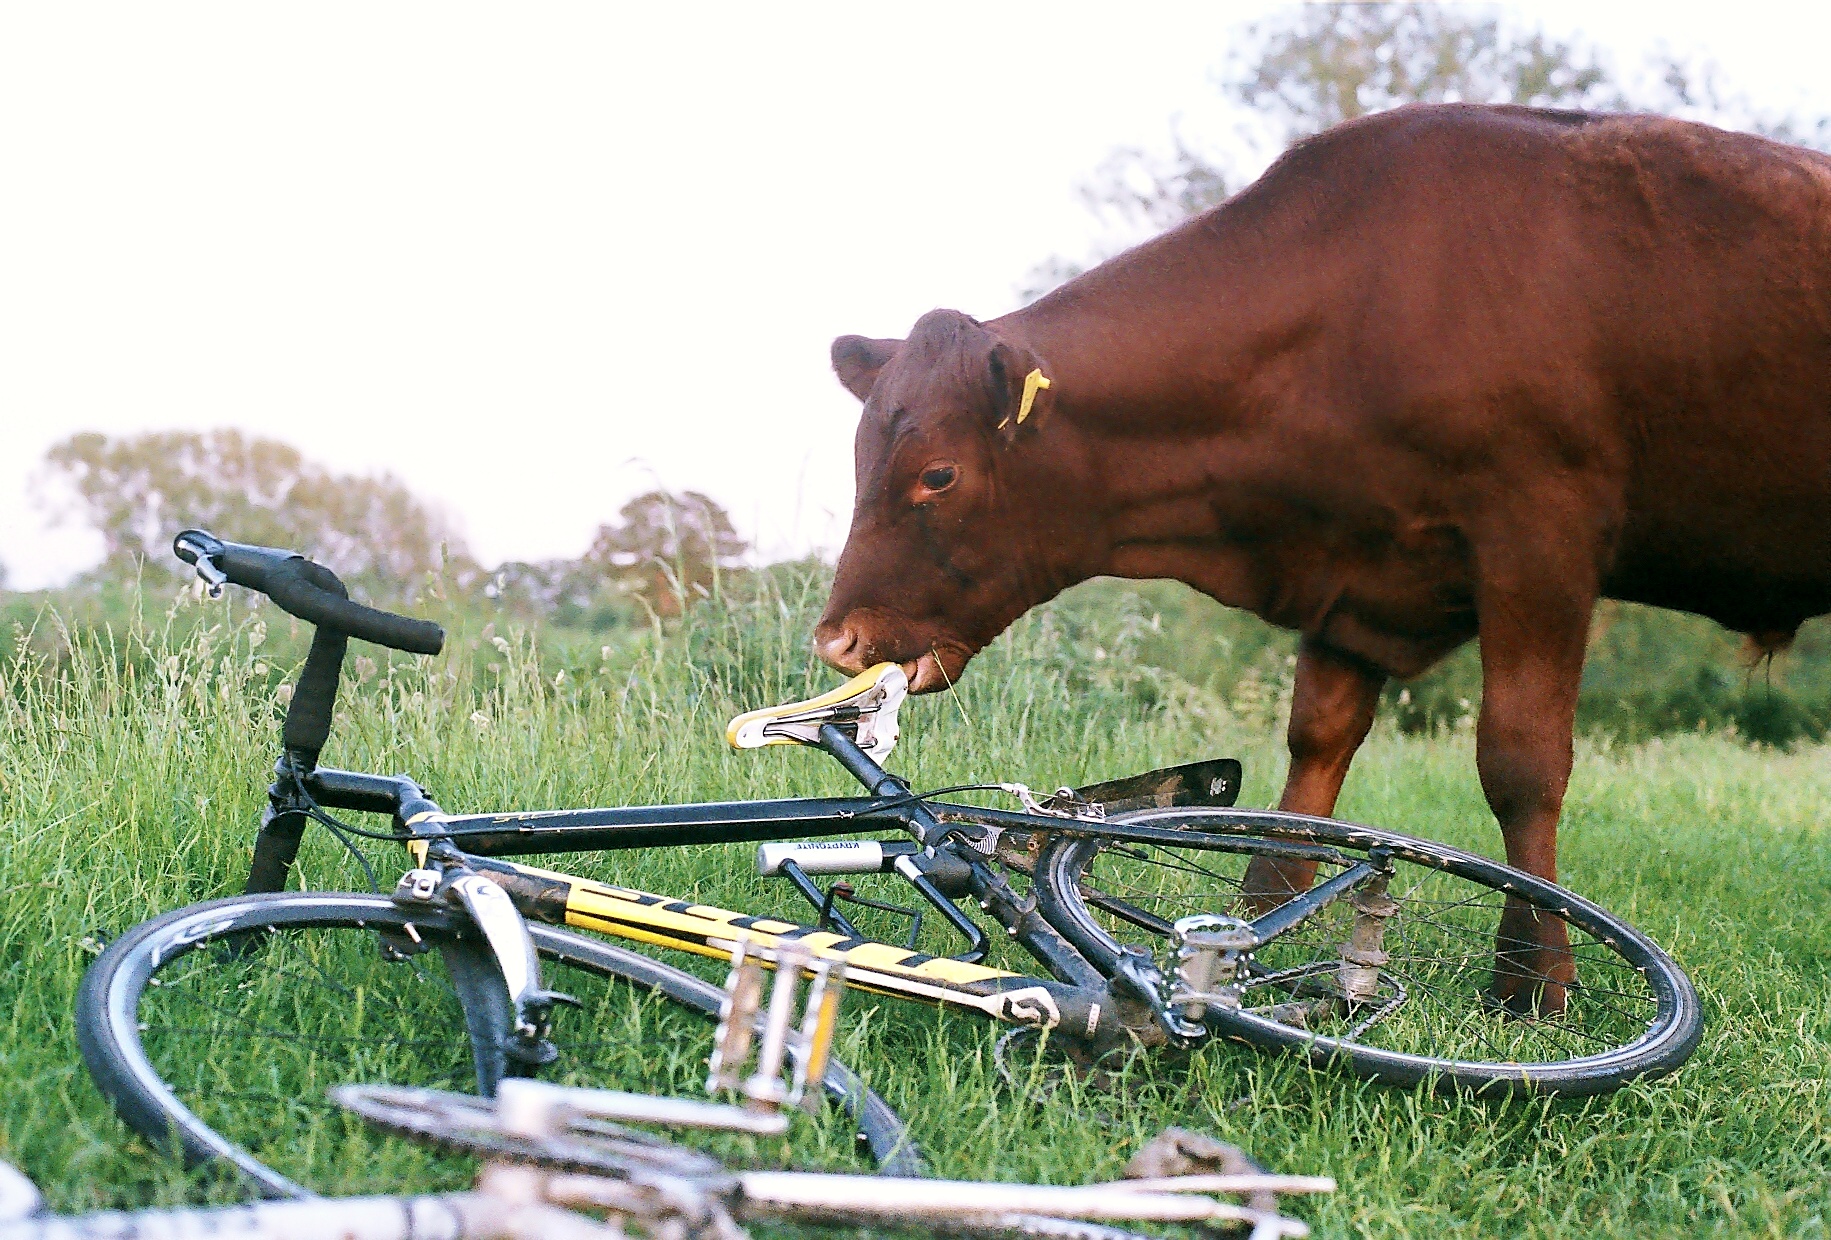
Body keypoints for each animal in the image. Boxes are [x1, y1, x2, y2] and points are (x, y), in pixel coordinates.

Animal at [813, 103, 1831, 1016]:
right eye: (858, 457)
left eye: (938, 474)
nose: (836, 641)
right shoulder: (1356, 575)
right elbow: (1315, 745)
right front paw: (1254, 918)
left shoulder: (1539, 537)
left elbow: (1520, 761)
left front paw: (1534, 979)